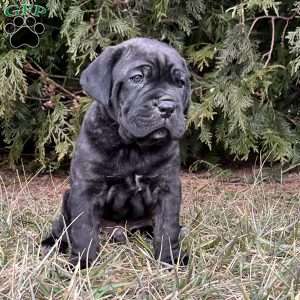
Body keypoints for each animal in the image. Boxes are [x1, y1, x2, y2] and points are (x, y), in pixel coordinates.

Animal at [42, 37, 191, 268]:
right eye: (137, 78)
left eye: (180, 83)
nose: (167, 106)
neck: (132, 146)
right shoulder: (86, 188)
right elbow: (83, 229)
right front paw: (82, 263)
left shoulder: (167, 187)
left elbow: (168, 227)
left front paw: (169, 259)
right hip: (67, 199)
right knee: (63, 229)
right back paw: (51, 244)